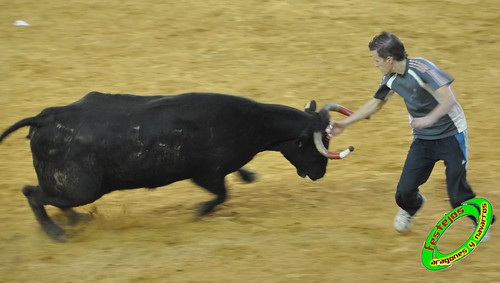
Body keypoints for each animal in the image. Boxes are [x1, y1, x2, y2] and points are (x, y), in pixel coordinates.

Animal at [0, 91, 354, 242]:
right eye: (314, 144)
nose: (320, 174)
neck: (247, 122)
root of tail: (46, 118)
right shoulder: (206, 175)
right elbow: (221, 195)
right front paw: (199, 212)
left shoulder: (215, 172)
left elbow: (234, 180)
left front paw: (249, 174)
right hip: (80, 188)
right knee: (32, 193)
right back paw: (57, 232)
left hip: (73, 188)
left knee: (51, 198)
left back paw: (76, 221)